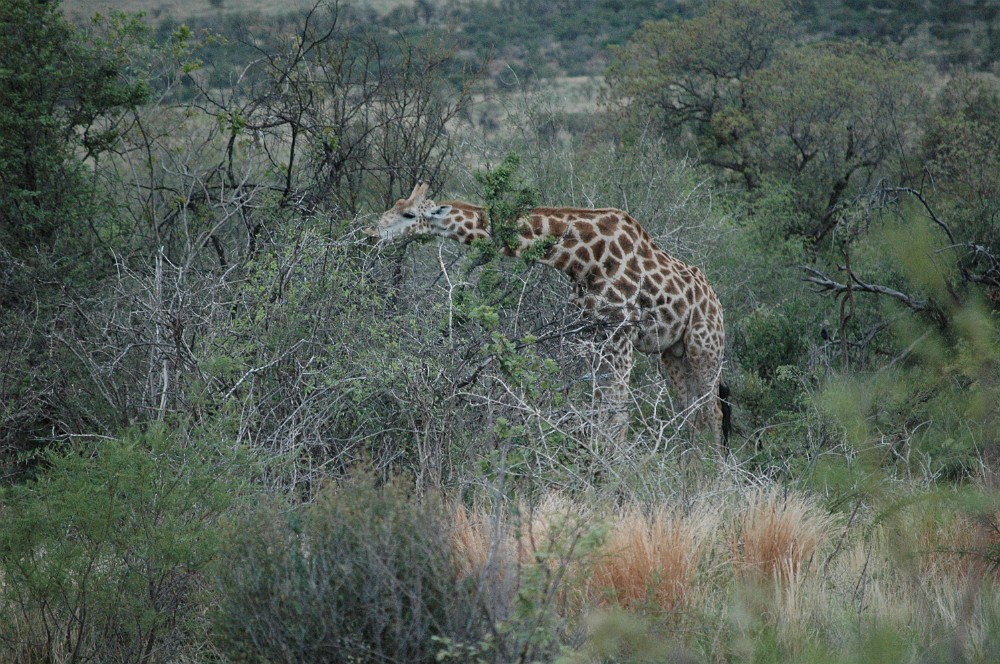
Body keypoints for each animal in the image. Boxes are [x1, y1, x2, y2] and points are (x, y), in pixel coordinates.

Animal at [369, 182, 731, 449]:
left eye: (408, 214)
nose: (374, 233)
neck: (582, 258)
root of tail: (716, 302)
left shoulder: (620, 332)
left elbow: (617, 413)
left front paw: (614, 474)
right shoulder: (591, 332)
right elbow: (599, 408)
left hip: (705, 346)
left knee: (712, 411)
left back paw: (712, 472)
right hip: (673, 353)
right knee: (692, 412)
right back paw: (691, 468)